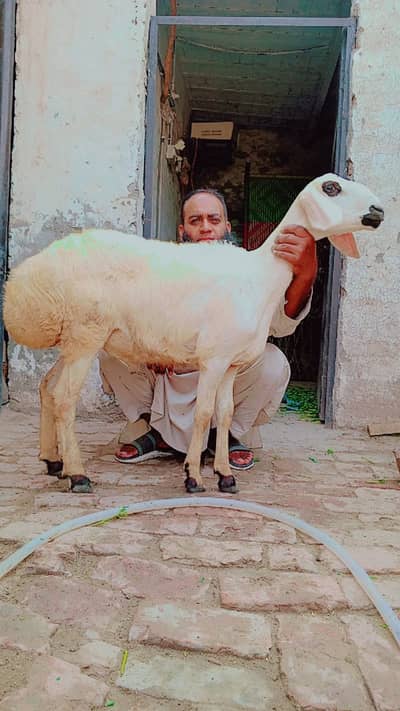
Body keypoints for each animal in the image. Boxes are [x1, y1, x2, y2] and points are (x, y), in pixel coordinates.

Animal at [3, 173, 384, 494]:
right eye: (331, 188)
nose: (378, 211)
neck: (261, 276)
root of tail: (25, 280)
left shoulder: (231, 363)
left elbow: (225, 412)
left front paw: (225, 475)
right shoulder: (213, 359)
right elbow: (202, 413)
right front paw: (193, 476)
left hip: (72, 340)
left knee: (47, 387)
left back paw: (53, 462)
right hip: (86, 333)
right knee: (64, 398)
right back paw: (78, 475)